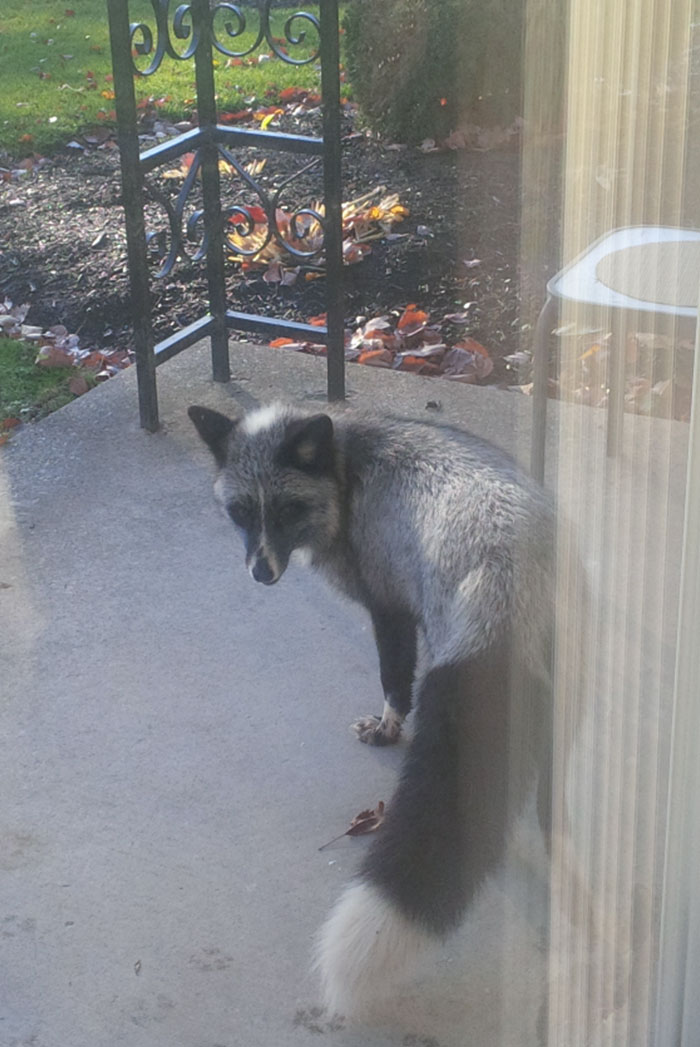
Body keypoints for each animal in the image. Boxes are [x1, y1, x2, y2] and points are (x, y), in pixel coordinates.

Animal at [188, 400, 558, 1017]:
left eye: (288, 510)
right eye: (240, 512)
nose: (261, 573)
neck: (345, 470)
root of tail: (507, 578)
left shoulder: (388, 607)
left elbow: (392, 680)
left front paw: (387, 728)